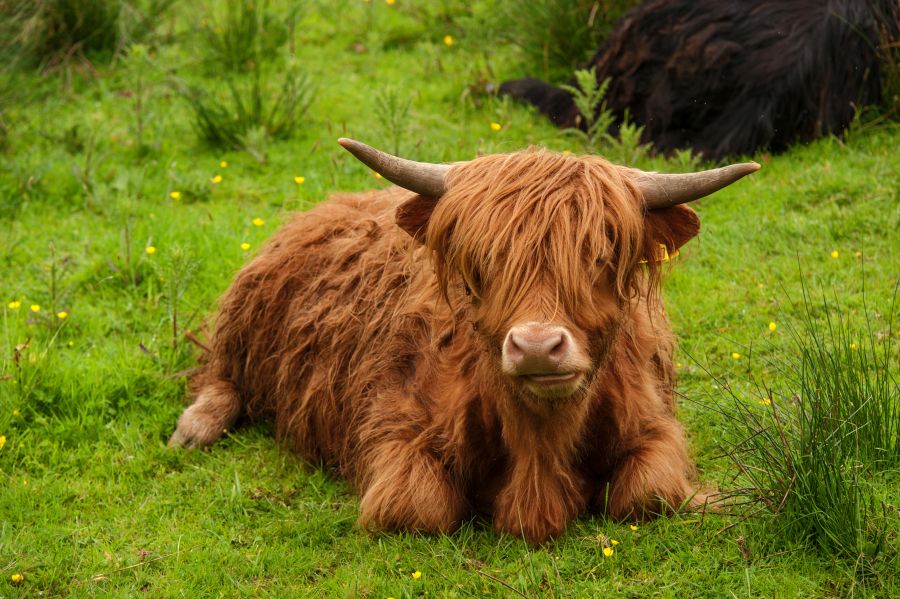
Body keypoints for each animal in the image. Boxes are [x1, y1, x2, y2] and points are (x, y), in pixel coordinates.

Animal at [171, 141, 760, 544]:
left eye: (600, 256)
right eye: (482, 263)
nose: (537, 346)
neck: (539, 445)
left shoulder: (654, 423)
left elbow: (648, 495)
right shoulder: (393, 427)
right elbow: (417, 509)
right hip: (245, 317)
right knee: (220, 374)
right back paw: (194, 428)